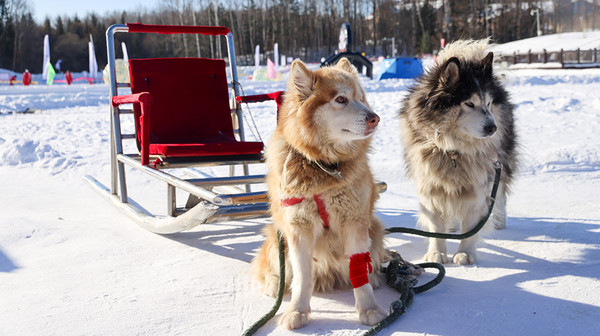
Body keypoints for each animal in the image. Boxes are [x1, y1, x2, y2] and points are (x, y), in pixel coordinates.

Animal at [250, 59, 386, 330]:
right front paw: (297, 311)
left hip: (374, 230)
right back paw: (274, 283)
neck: (324, 167)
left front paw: (369, 308)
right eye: (341, 99)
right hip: (276, 238)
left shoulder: (355, 222)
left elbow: (359, 272)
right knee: (273, 269)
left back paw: (374, 276)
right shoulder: (298, 228)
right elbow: (302, 277)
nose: (375, 118)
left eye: (361, 98)